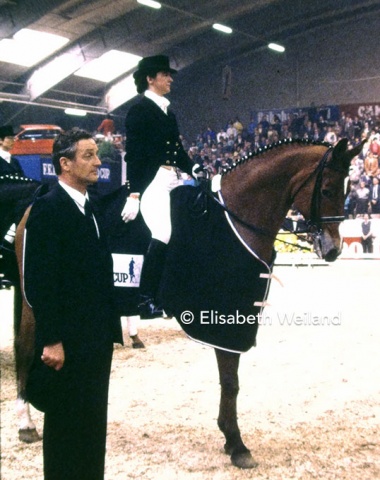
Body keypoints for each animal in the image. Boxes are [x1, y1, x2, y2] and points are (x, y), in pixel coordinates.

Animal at [11, 136, 362, 468]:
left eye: (348, 189)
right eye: (328, 189)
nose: (333, 249)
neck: (235, 219)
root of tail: (32, 206)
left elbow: (230, 382)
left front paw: (229, 439)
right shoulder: (226, 320)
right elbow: (231, 382)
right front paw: (237, 444)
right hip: (35, 304)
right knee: (25, 350)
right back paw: (26, 424)